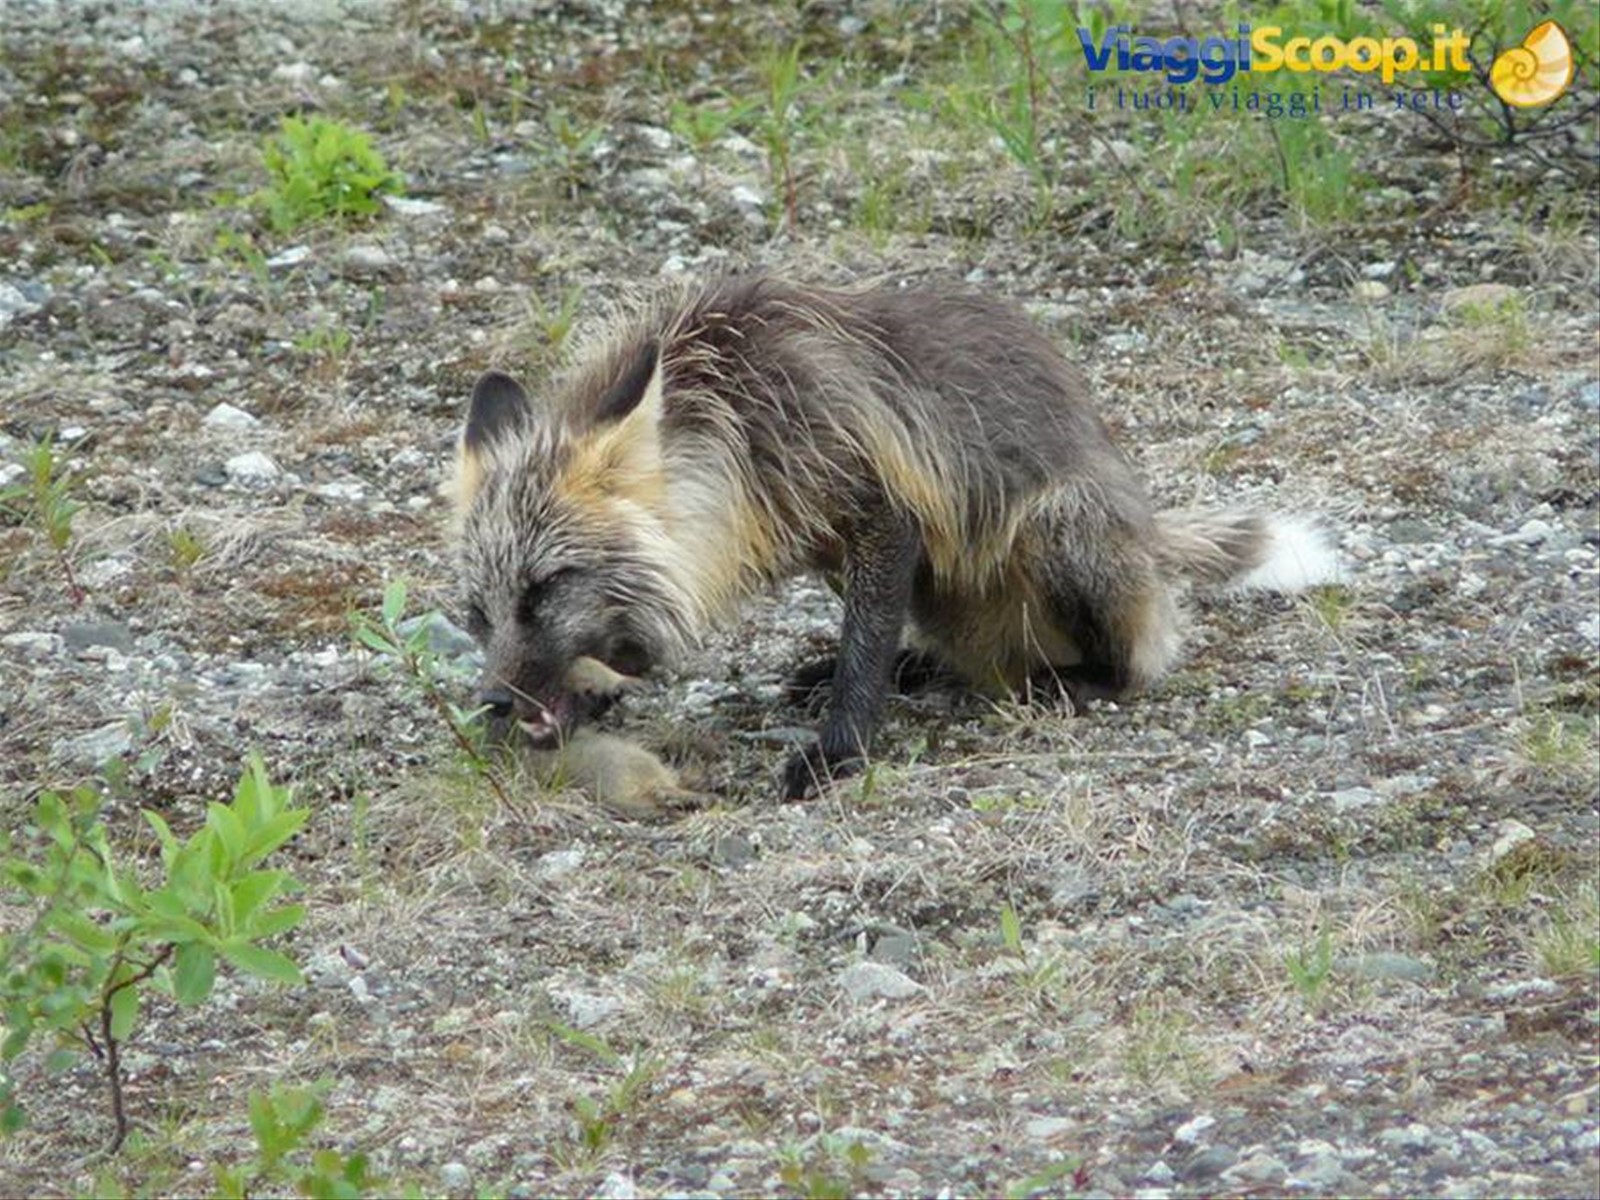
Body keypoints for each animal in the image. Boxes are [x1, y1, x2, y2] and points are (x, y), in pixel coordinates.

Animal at [452, 275, 1338, 800]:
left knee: (1133, 661)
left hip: (1062, 534)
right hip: (952, 594)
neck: (736, 422)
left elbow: (866, 645)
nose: (491, 703)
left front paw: (840, 749)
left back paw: (1068, 682)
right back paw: (933, 668)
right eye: (476, 613)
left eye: (545, 589)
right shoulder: (832, 543)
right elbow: (869, 634)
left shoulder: (879, 509)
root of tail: (1147, 529)